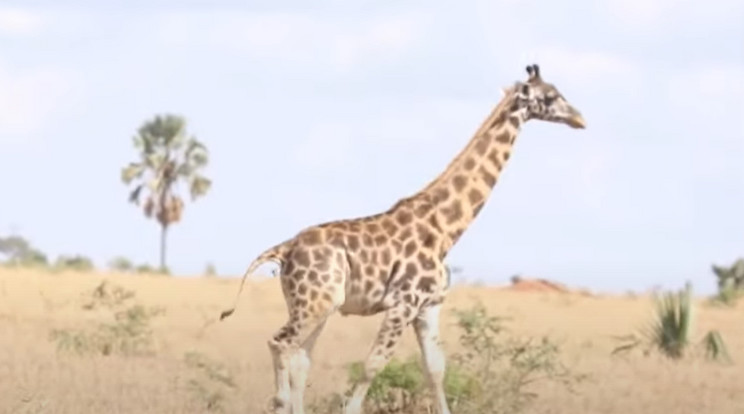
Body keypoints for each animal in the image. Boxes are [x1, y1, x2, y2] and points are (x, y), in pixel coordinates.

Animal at [219, 62, 588, 414]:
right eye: (551, 96)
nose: (580, 118)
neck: (446, 230)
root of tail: (284, 248)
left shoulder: (429, 306)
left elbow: (435, 369)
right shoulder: (403, 302)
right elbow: (372, 365)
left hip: (320, 304)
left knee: (300, 358)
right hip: (314, 302)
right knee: (280, 343)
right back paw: (280, 402)